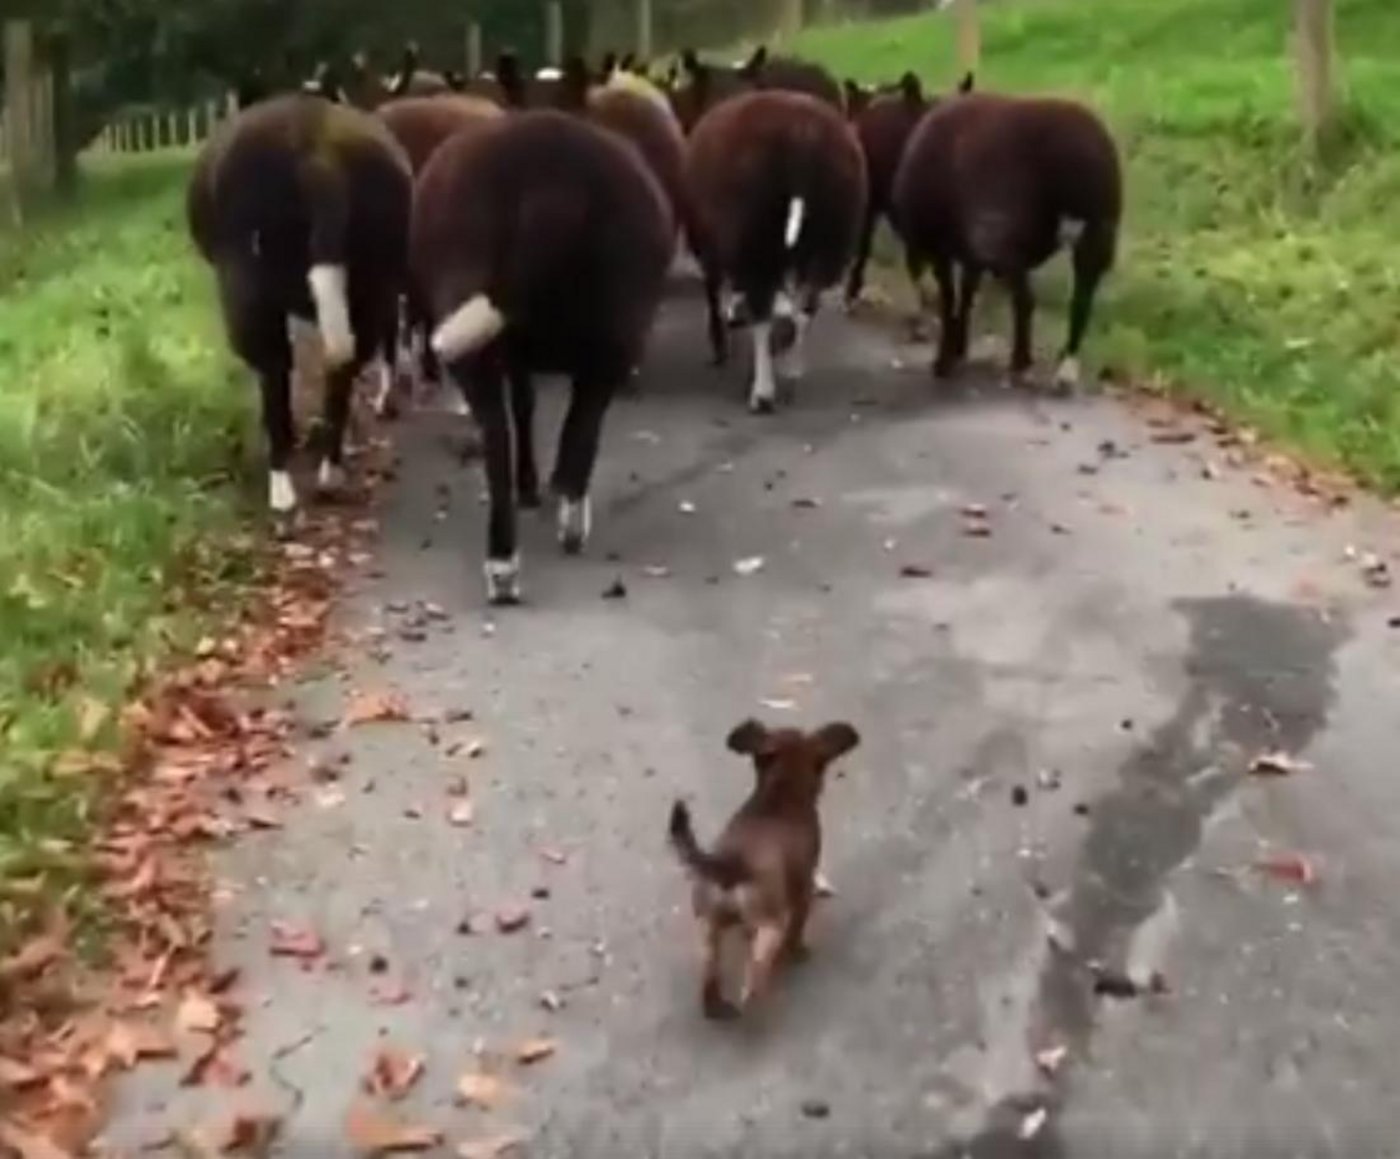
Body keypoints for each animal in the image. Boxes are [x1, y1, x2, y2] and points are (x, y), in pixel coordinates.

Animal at [187, 92, 413, 517]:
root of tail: (316, 157)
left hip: (246, 289)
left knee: (275, 370)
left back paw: (282, 487)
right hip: (373, 281)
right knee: (345, 366)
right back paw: (331, 469)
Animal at [412, 110, 674, 605]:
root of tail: (553, 185)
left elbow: (526, 407)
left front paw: (533, 485)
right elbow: (546, 415)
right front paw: (543, 488)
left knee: (498, 432)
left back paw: (503, 561)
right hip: (617, 329)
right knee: (578, 424)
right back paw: (562, 526)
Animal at [686, 89, 868, 412]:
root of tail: (803, 135)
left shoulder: (711, 249)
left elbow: (716, 295)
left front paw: (722, 342)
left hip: (756, 239)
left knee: (762, 313)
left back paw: (762, 393)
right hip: (831, 239)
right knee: (806, 307)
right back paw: (792, 372)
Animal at [891, 91, 1122, 392]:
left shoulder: (953, 246)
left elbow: (951, 297)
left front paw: (946, 358)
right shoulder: (970, 251)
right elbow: (967, 293)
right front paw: (959, 348)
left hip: (1017, 237)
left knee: (1032, 299)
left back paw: (1023, 365)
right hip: (1095, 236)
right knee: (1077, 301)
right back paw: (1060, 371)